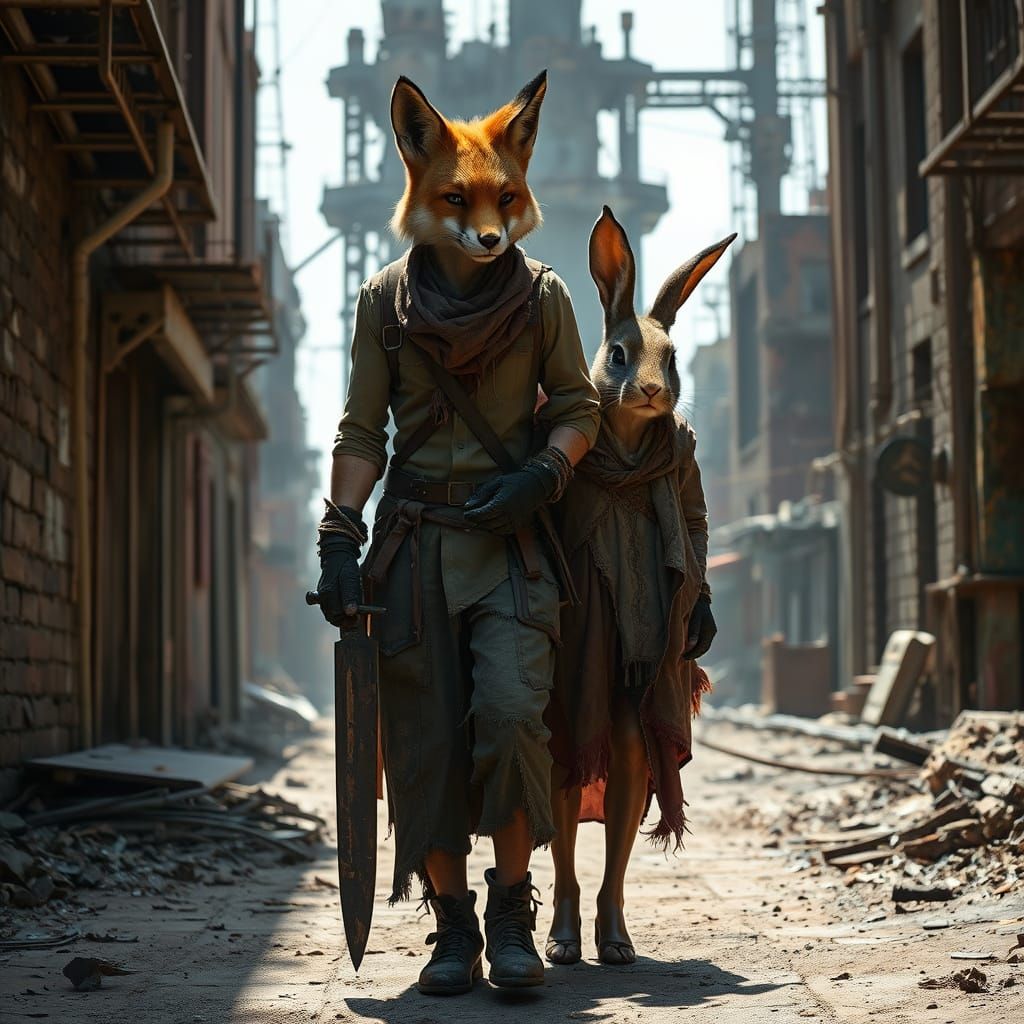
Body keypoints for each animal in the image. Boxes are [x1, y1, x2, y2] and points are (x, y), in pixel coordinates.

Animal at [545, 206, 735, 966]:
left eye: (675, 358)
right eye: (620, 355)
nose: (654, 391)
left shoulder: (684, 475)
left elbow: (697, 518)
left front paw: (613, 937)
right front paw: (566, 939)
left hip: (637, 685)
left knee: (626, 760)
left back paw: (613, 938)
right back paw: (565, 937)